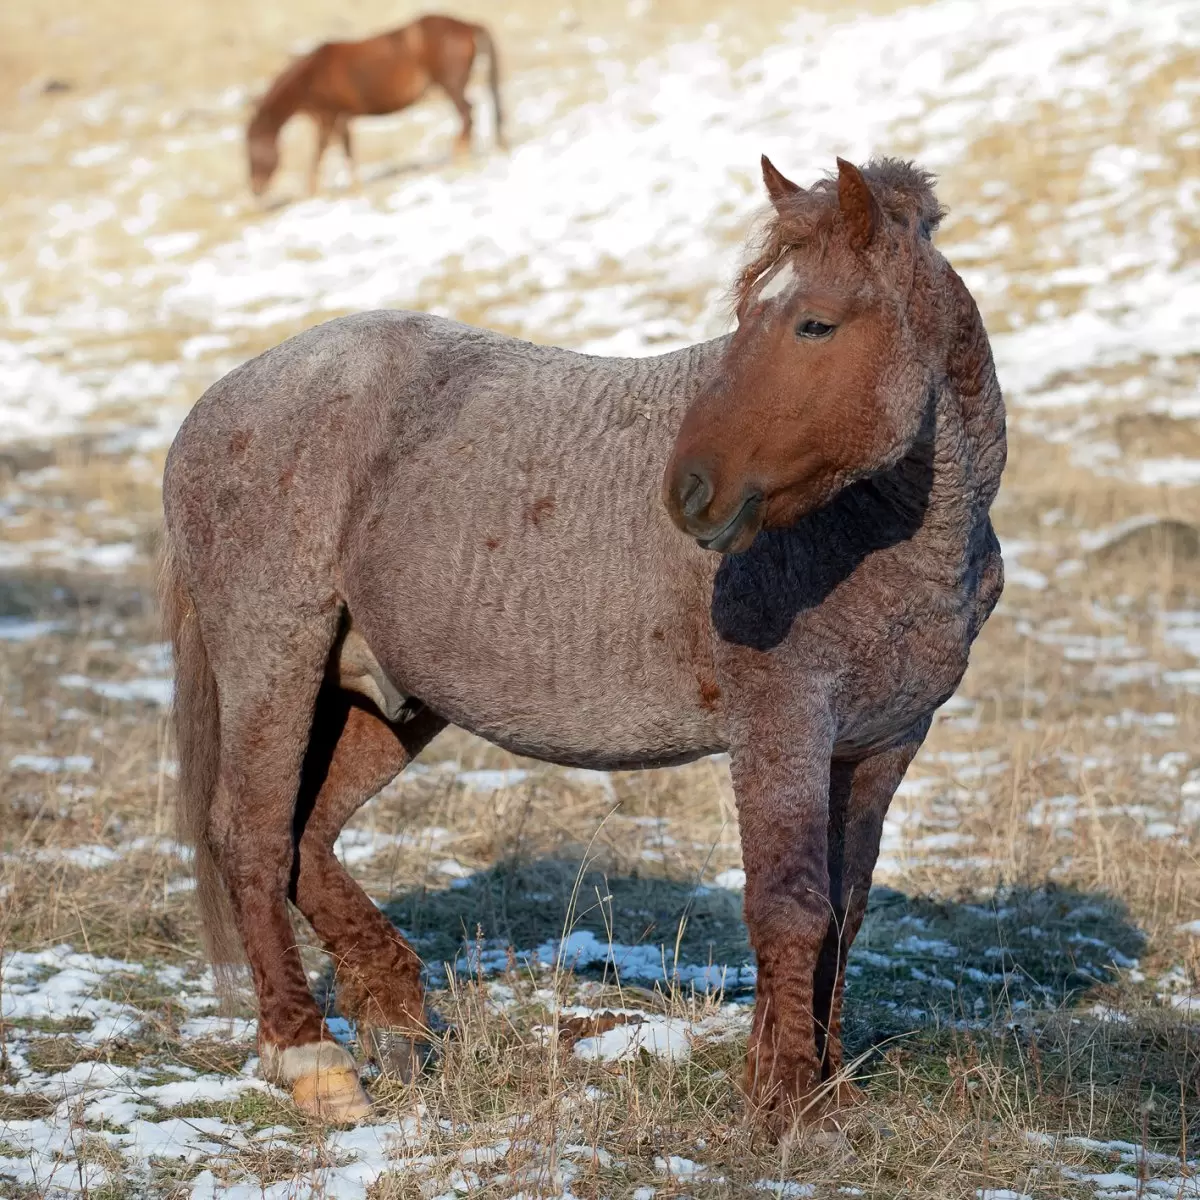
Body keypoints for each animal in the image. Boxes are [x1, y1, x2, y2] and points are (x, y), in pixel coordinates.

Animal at [159, 157, 1003, 1132]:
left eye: (815, 323)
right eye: (745, 317)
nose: (690, 490)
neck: (881, 533)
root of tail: (214, 405)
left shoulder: (882, 743)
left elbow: (845, 906)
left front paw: (818, 1087)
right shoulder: (782, 723)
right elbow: (790, 905)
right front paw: (784, 1100)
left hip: (387, 699)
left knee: (309, 838)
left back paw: (397, 1018)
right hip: (276, 656)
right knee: (252, 838)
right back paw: (312, 1059)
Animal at [248, 12, 501, 196]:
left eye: (252, 152)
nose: (256, 191)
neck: (312, 77)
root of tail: (467, 25)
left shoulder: (335, 117)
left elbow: (329, 151)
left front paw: (325, 190)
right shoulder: (330, 119)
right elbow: (331, 149)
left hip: (451, 84)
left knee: (467, 113)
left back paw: (459, 154)